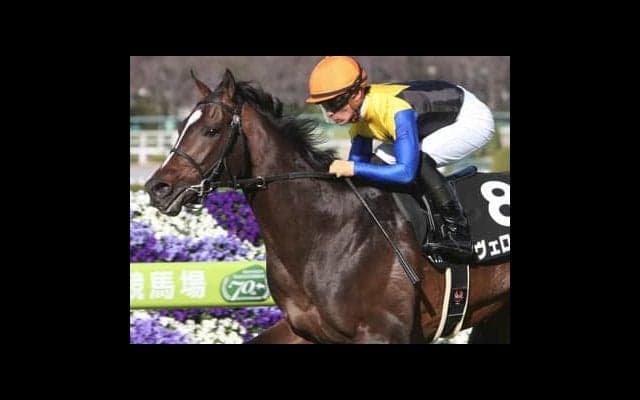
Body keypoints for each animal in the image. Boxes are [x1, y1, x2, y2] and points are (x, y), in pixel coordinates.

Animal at [144, 69, 510, 344]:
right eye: (181, 128)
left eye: (211, 130)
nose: (157, 188)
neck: (323, 232)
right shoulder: (306, 330)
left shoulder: (383, 332)